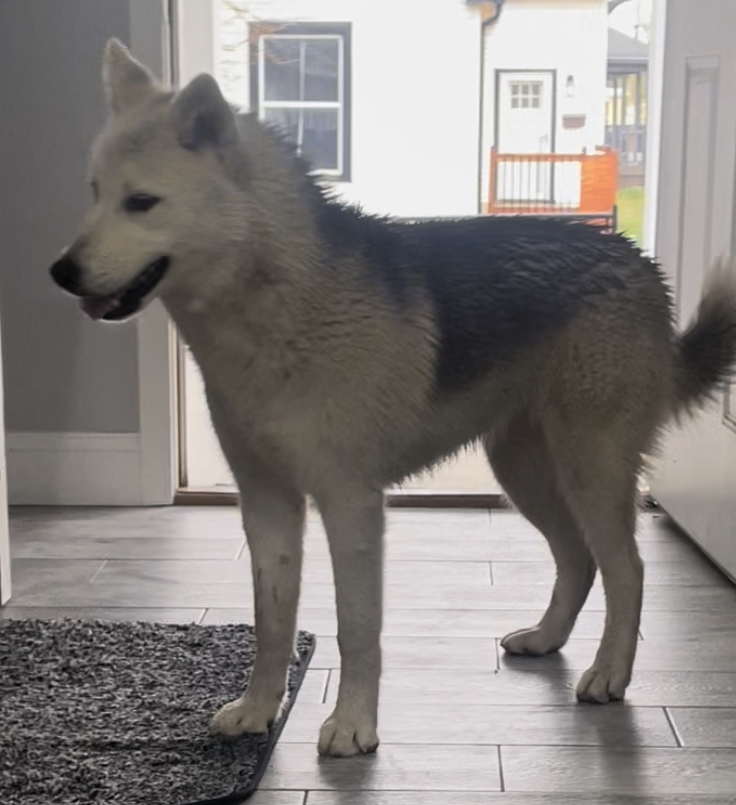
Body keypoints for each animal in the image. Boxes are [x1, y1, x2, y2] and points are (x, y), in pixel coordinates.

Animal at [49, 39, 736, 758]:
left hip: (590, 469)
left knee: (626, 569)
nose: (60, 272)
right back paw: (547, 638)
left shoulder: (351, 504)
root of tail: (636, 261)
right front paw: (261, 709)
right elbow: (273, 622)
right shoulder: (267, 506)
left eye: (142, 201)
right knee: (577, 558)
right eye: (94, 193)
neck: (273, 301)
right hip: (524, 471)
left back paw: (609, 673)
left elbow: (356, 628)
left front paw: (353, 724)